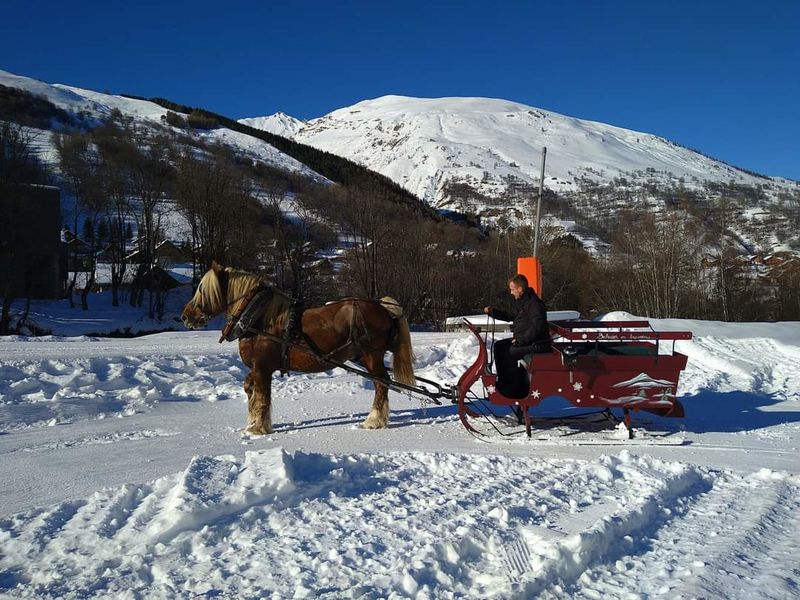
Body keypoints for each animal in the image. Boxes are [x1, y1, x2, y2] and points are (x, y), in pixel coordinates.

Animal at [180, 262, 415, 434]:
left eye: (202, 289)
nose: (185, 316)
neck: (257, 319)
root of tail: (382, 307)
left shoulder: (263, 368)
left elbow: (263, 396)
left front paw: (259, 428)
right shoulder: (256, 368)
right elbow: (250, 390)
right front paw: (253, 422)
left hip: (371, 355)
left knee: (382, 383)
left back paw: (373, 420)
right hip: (364, 357)